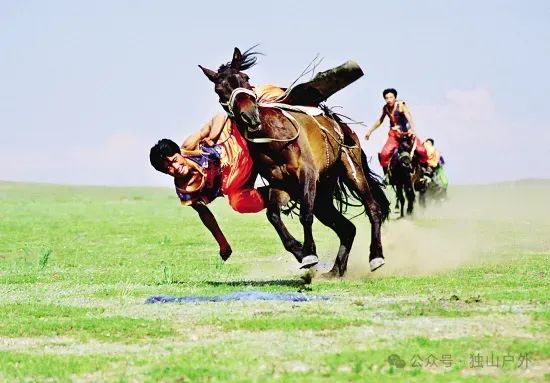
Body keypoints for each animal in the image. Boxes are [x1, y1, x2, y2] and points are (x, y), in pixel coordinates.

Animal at [198, 47, 392, 276]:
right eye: (220, 90)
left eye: (245, 78)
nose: (250, 117)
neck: (274, 139)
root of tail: (341, 125)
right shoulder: (281, 185)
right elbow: (273, 215)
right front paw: (300, 251)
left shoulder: (307, 175)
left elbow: (305, 216)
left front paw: (309, 253)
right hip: (323, 196)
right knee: (347, 228)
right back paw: (336, 271)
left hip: (351, 172)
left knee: (373, 208)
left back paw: (376, 256)